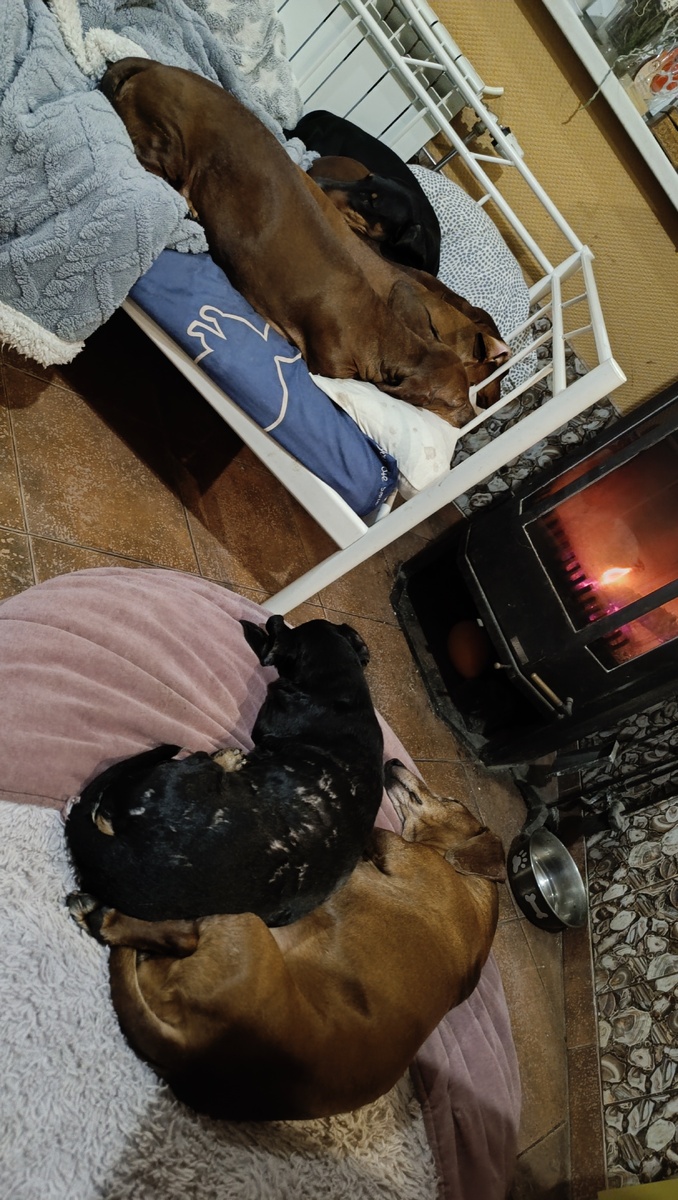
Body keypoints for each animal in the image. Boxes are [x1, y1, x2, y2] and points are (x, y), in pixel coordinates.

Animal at [68, 762, 505, 1121]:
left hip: (244, 924)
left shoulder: (399, 851)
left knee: (177, 934)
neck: (468, 880)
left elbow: (373, 831)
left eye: (451, 799)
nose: (395, 760)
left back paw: (99, 914)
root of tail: (193, 1049)